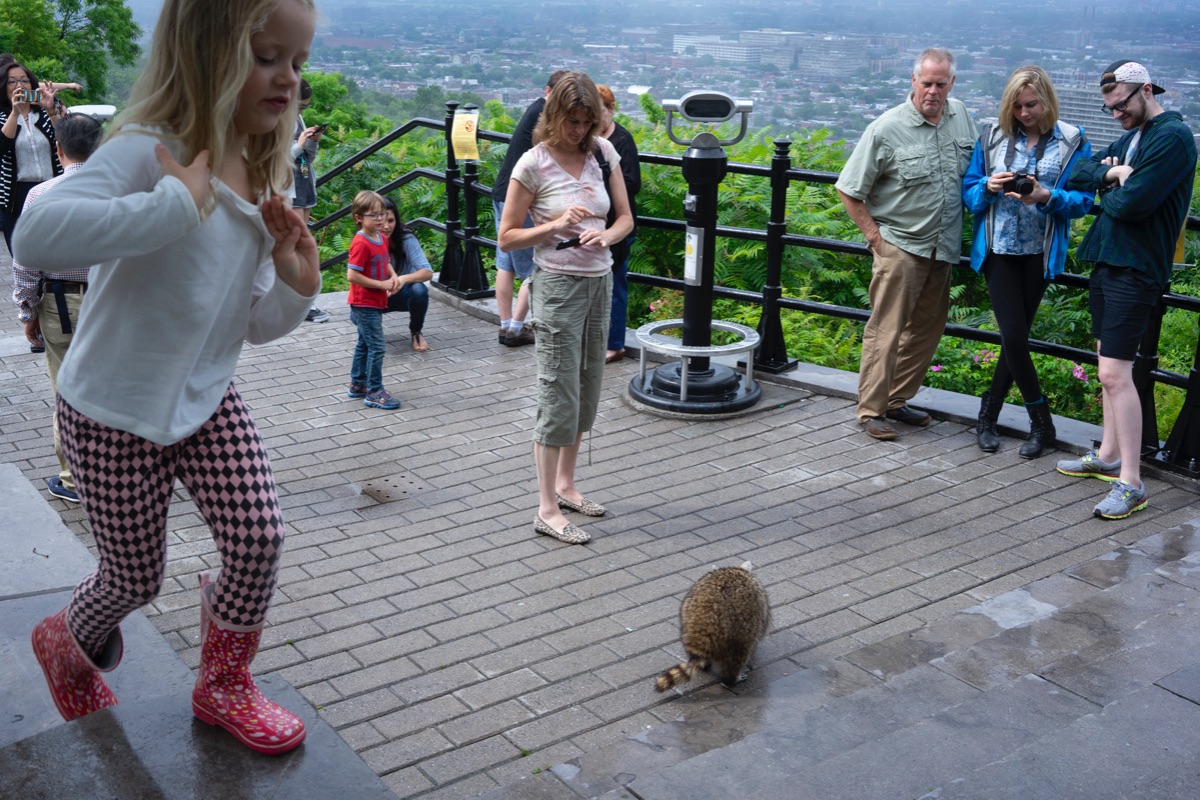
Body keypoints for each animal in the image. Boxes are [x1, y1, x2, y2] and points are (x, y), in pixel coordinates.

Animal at [657, 561, 768, 690]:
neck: (737, 570)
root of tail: (704, 623)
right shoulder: (760, 601)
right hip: (740, 631)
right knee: (738, 655)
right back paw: (731, 679)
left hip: (686, 617)